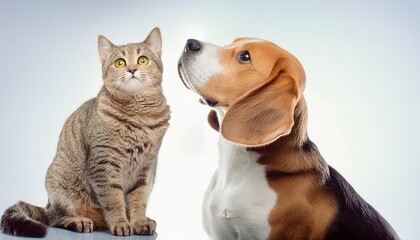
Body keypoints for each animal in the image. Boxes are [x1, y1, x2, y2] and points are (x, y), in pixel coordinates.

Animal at [0, 27, 171, 237]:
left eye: (143, 60)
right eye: (120, 63)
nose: (132, 69)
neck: (139, 116)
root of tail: (47, 205)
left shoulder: (146, 168)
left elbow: (139, 200)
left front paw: (139, 222)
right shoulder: (104, 163)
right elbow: (114, 200)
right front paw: (121, 223)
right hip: (58, 182)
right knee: (54, 218)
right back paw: (78, 221)